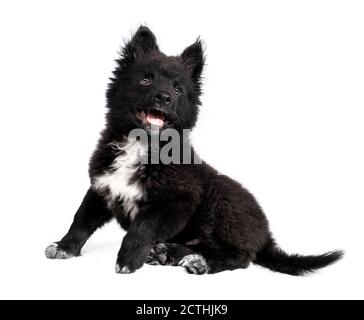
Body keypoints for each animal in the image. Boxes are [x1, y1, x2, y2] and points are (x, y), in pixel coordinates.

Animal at [44, 25, 342, 276]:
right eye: (145, 80)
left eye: (178, 89)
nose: (164, 97)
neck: (142, 145)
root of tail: (266, 237)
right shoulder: (102, 185)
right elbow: (81, 219)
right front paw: (64, 246)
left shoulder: (179, 200)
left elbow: (142, 225)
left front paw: (128, 259)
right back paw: (169, 253)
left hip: (222, 200)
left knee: (239, 257)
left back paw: (198, 263)